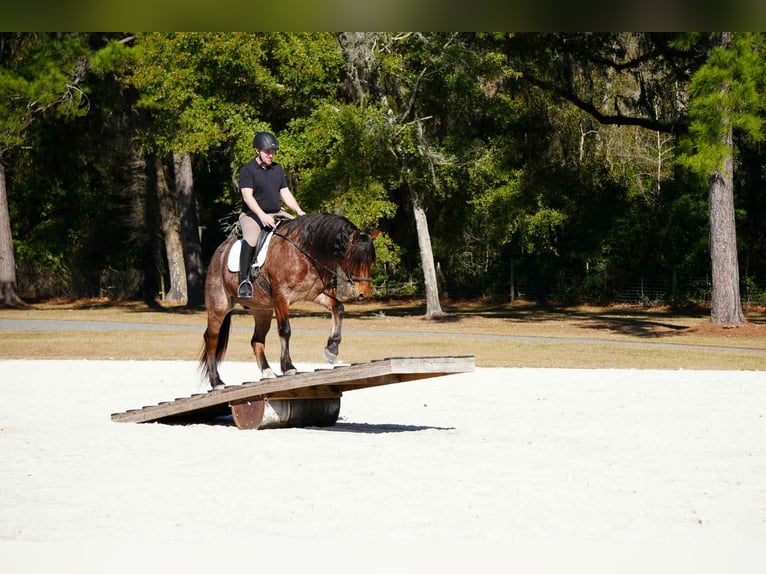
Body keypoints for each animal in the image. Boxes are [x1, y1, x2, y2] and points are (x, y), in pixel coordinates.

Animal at [199, 212, 377, 389]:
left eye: (371, 261)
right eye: (355, 258)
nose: (364, 295)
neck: (305, 252)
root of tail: (219, 251)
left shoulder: (317, 294)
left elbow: (338, 309)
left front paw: (332, 350)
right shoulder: (281, 297)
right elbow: (285, 330)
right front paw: (288, 367)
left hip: (262, 311)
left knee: (256, 340)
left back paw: (268, 373)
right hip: (219, 307)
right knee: (212, 339)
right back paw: (217, 382)